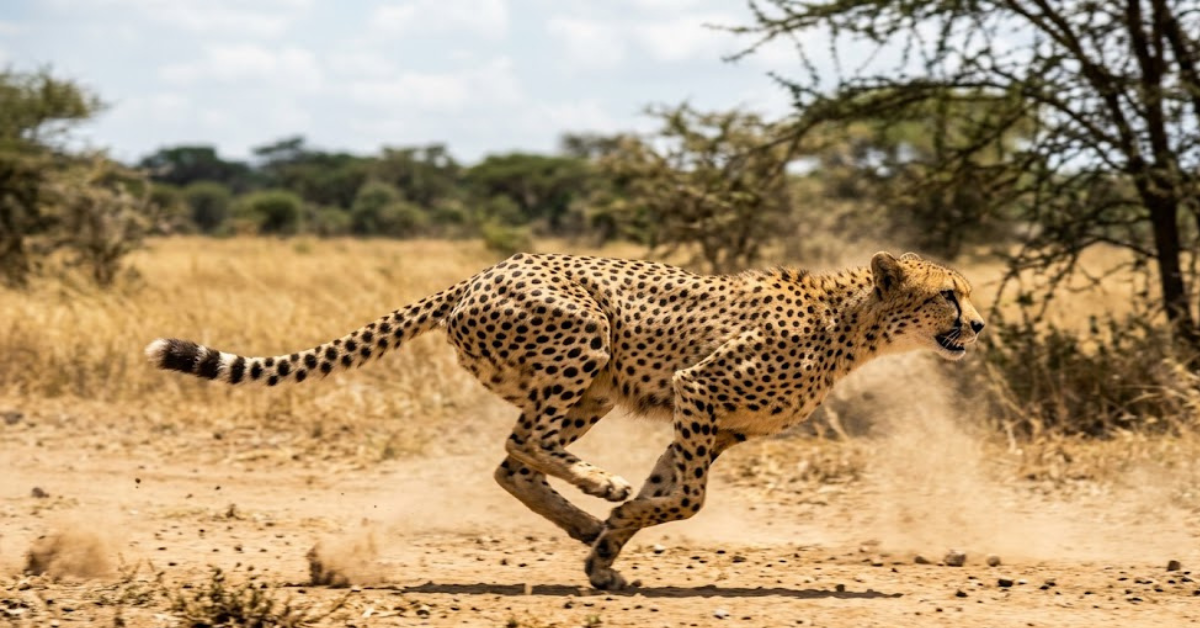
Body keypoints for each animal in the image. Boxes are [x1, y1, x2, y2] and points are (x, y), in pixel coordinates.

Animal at [145, 250, 985, 590]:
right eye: (949, 295)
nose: (978, 326)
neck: (852, 325)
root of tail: (477, 275)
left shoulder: (714, 424)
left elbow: (673, 493)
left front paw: (606, 552)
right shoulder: (697, 389)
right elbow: (686, 497)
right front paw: (615, 520)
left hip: (595, 388)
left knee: (511, 458)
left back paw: (583, 519)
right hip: (586, 339)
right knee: (524, 440)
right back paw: (598, 488)